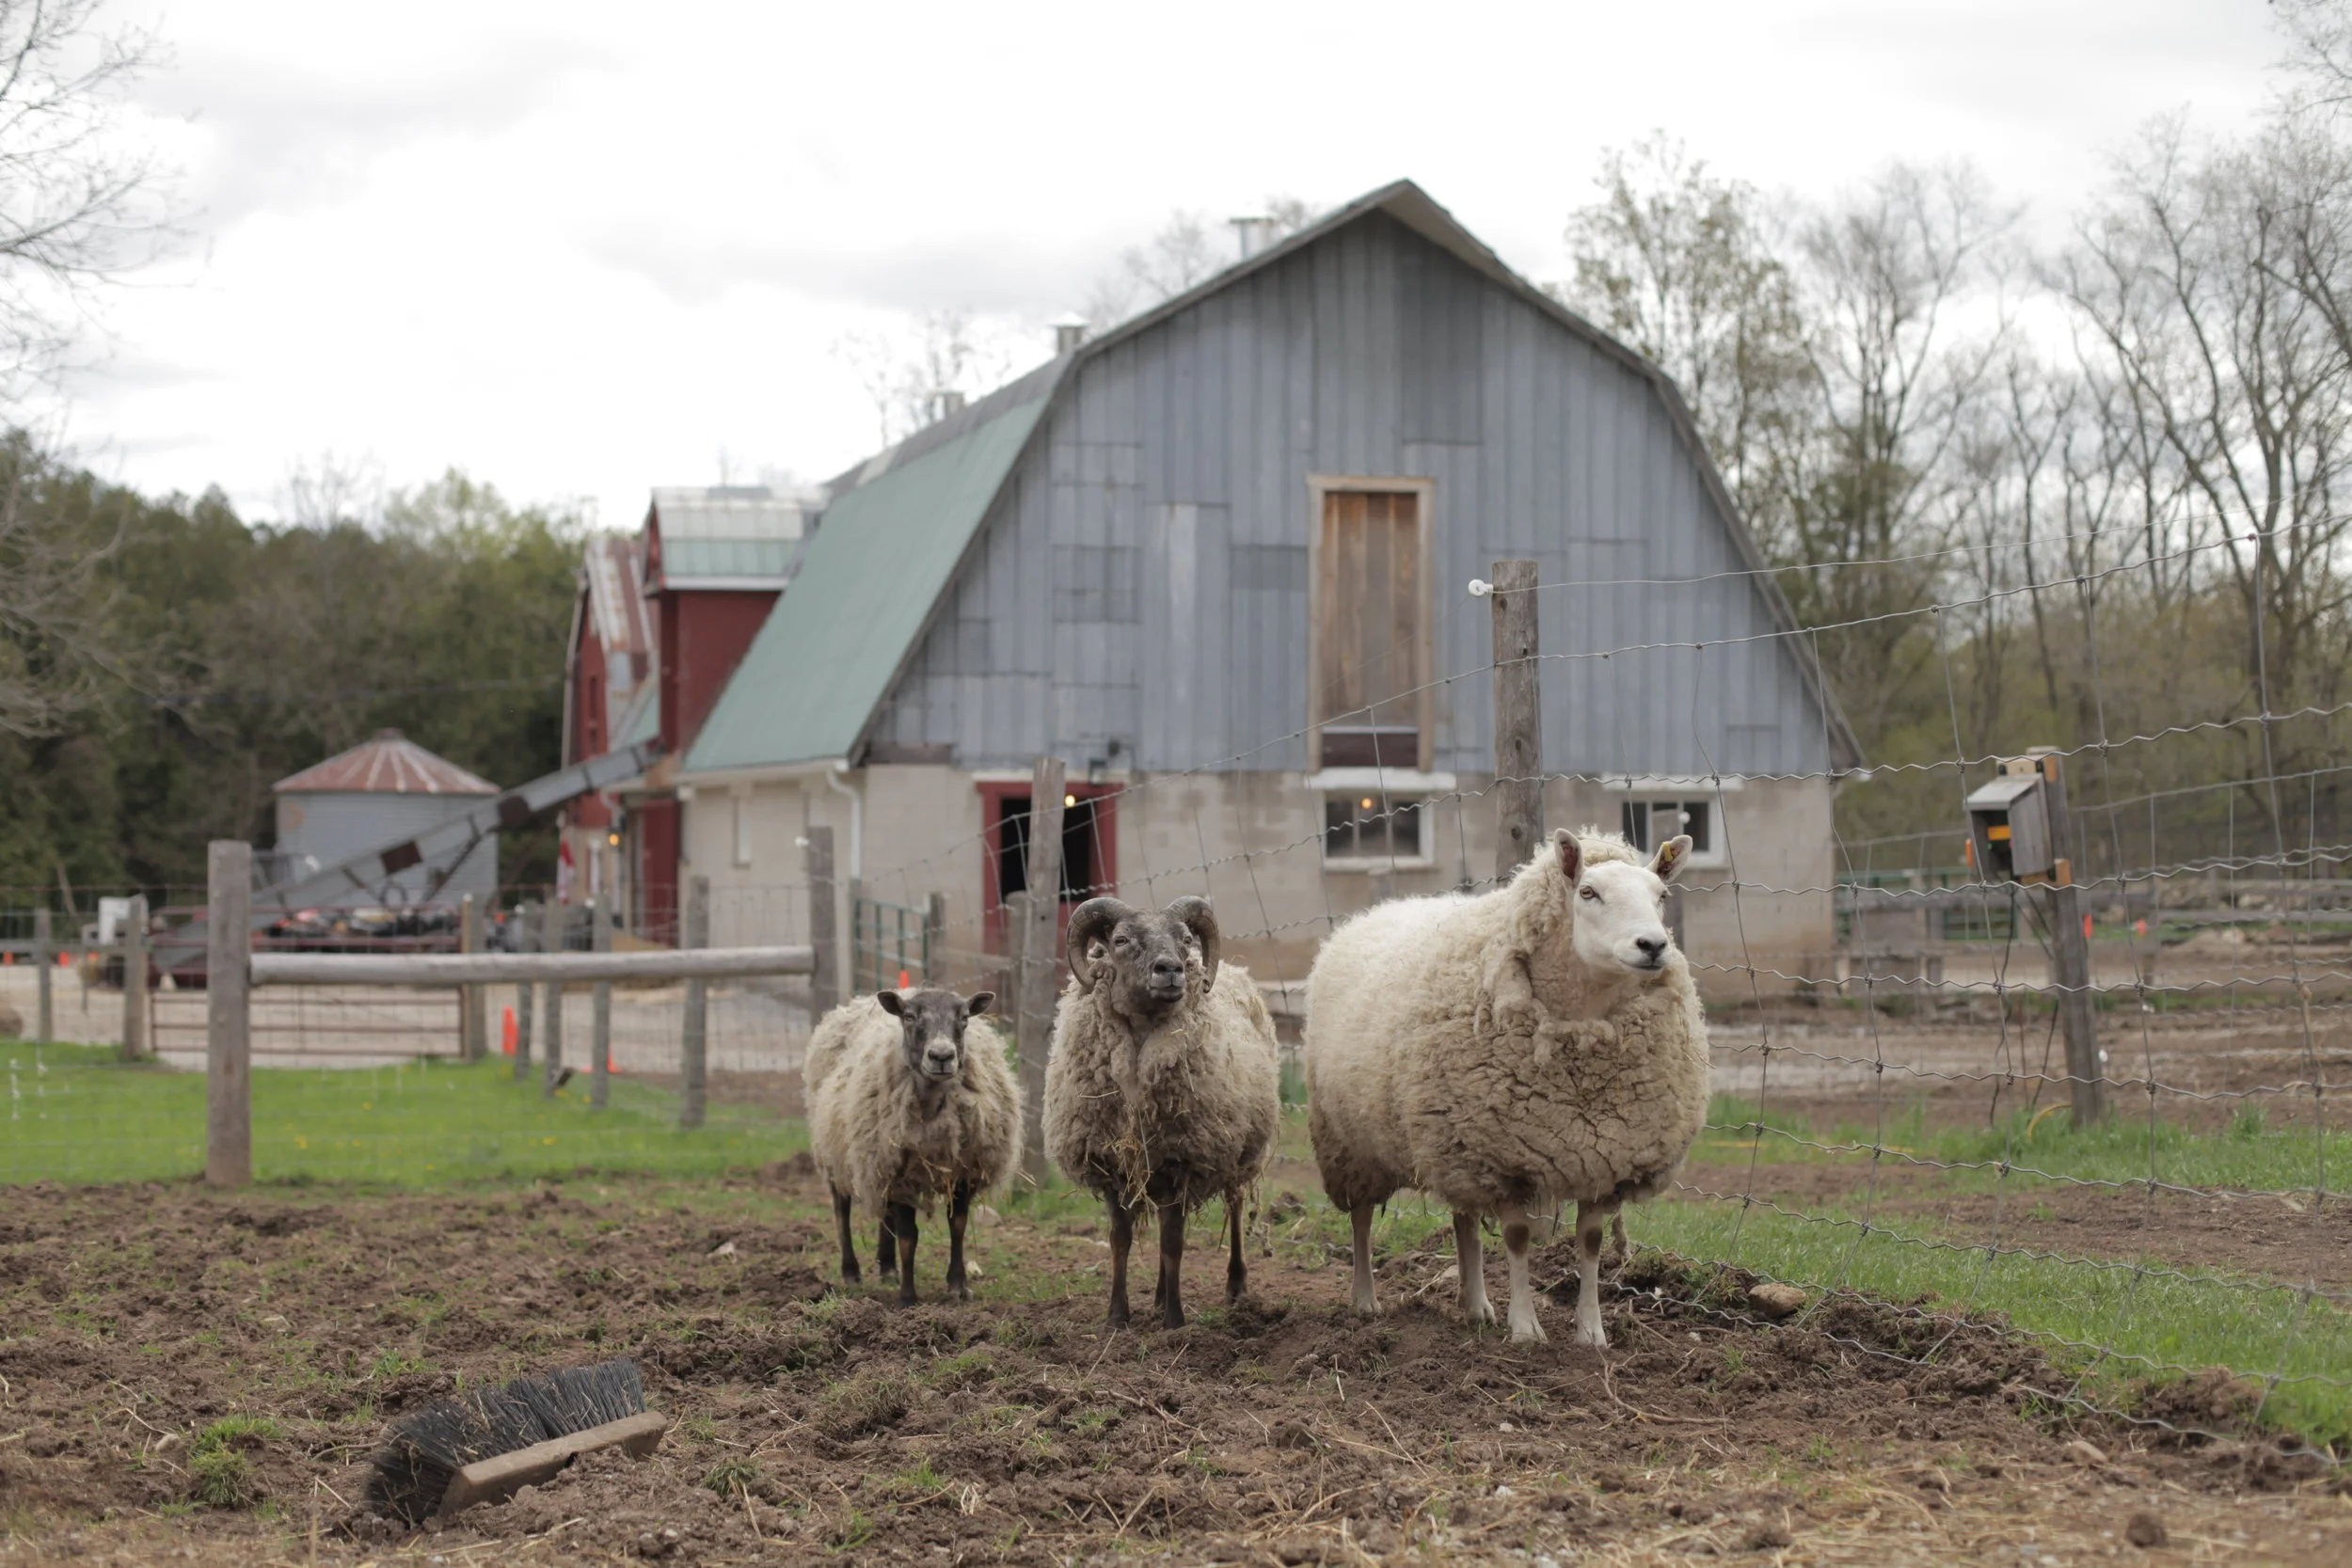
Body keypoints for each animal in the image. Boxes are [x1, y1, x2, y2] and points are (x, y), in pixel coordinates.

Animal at [803, 985, 1021, 1307]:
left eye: (964, 1017)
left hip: (878, 1161)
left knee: (885, 1214)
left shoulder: (961, 1170)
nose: (941, 1056)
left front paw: (958, 1285)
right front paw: (908, 1297)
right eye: (909, 1016)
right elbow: (909, 1237)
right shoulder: (898, 1173)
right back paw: (851, 1272)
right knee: (841, 1210)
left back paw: (888, 1268)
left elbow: (957, 1225)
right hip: (837, 1153)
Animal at [1043, 895, 1282, 1330]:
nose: (1171, 970)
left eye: (1186, 938)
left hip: (1238, 1153)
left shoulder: (1181, 1162)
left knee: (1235, 1206)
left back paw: (1235, 1285)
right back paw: (1156, 1296)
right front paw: (1117, 1315)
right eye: (1119, 940)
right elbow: (1120, 1242)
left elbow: (1174, 1244)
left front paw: (1175, 1319)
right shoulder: (1113, 1166)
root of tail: (1238, 971)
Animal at [1304, 827, 1708, 1347]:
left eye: (1661, 896)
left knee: (1465, 1221)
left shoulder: (1602, 1161)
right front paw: (1526, 1328)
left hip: (1453, 1143)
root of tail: (1374, 913)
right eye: (1588, 892)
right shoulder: (1504, 1158)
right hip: (1357, 1147)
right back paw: (1365, 1300)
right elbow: (1516, 1240)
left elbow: (1591, 1243)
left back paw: (1475, 1305)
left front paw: (1591, 1331)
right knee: (1360, 1219)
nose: (1654, 945)